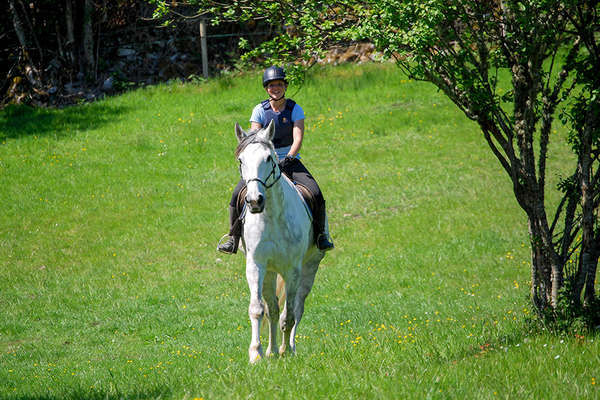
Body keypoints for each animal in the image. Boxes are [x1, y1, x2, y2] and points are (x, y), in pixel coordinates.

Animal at [236, 119, 328, 362]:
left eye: (269, 158)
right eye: (241, 160)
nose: (254, 201)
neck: (271, 216)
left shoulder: (292, 270)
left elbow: (290, 314)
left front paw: (286, 351)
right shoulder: (256, 265)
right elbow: (258, 309)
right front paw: (256, 354)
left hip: (309, 268)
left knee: (298, 308)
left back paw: (290, 347)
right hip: (269, 272)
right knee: (272, 310)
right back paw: (272, 350)